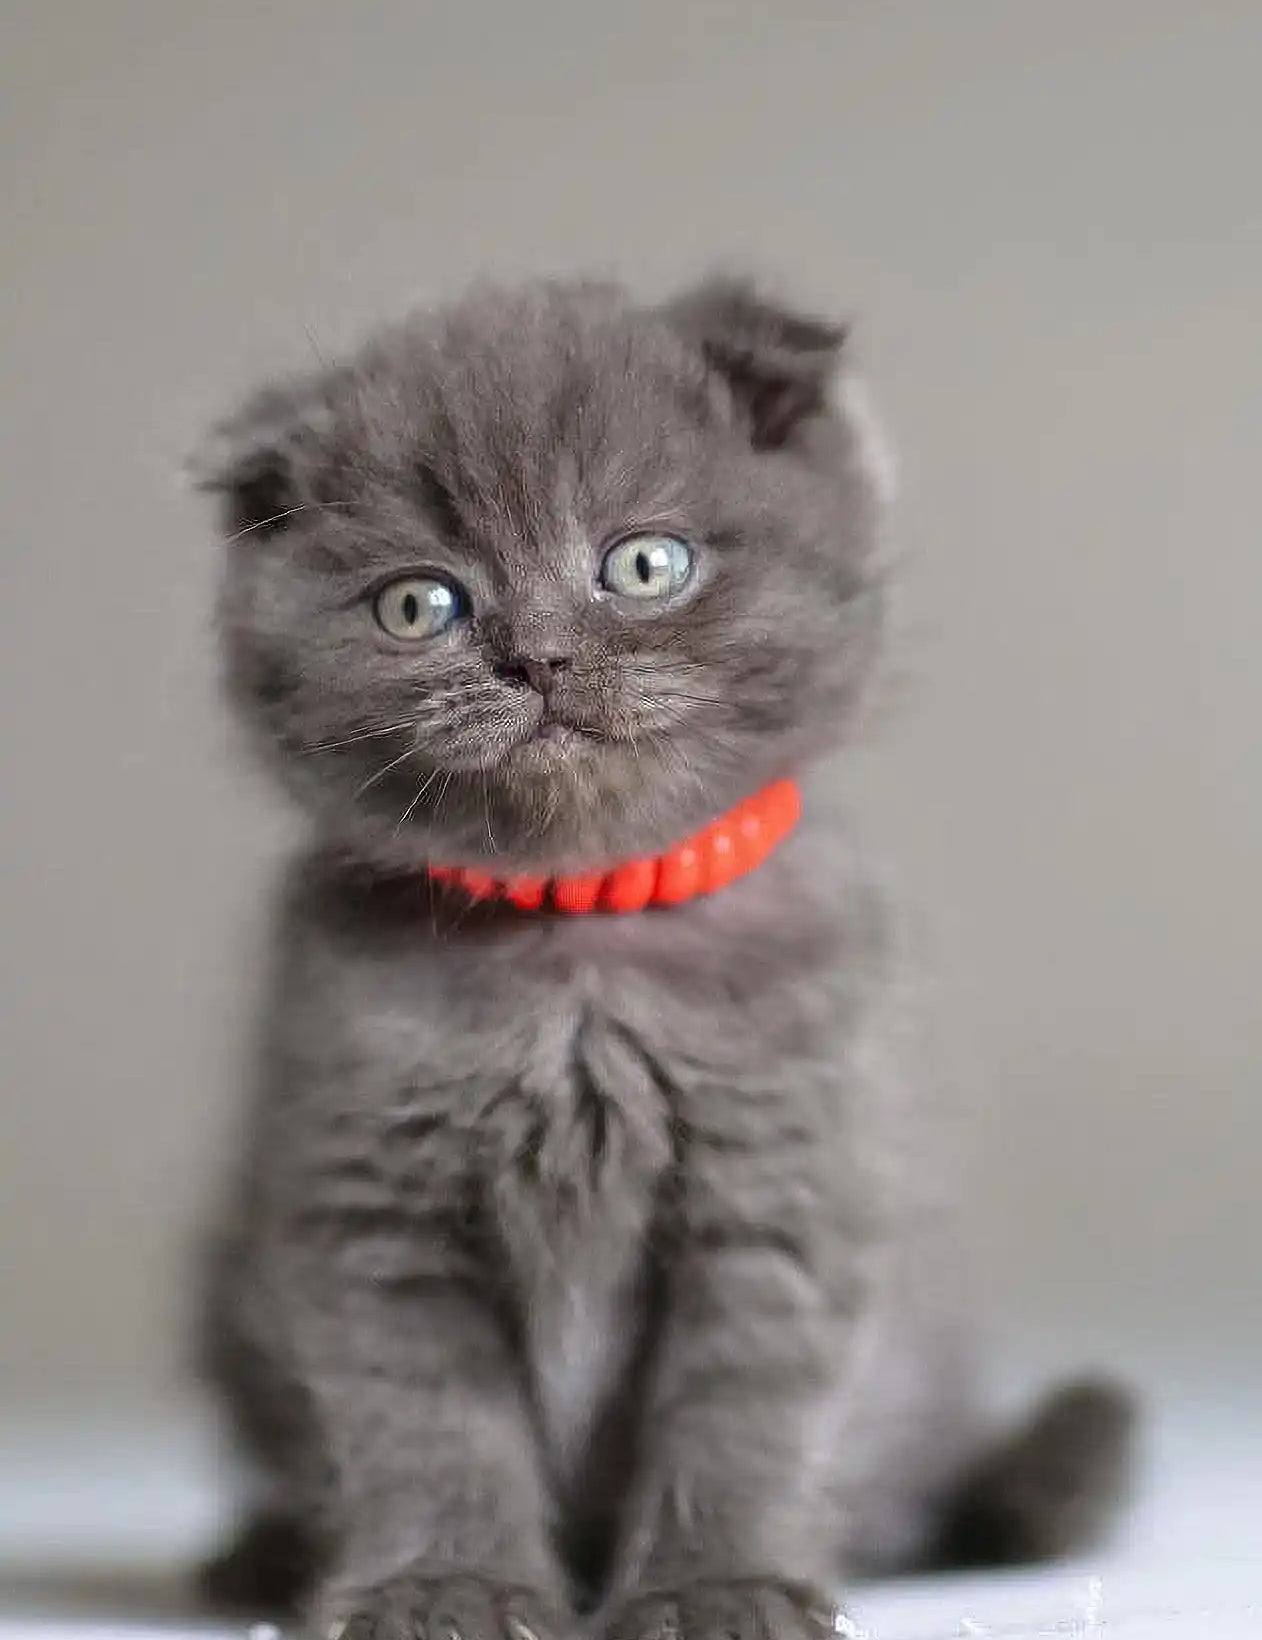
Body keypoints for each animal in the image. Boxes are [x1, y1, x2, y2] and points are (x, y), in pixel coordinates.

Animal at [194, 275, 1127, 1633]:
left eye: (643, 564)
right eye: (419, 604)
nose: (534, 654)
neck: (586, 936)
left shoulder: (780, 1187)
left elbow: (737, 1423)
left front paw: (718, 1587)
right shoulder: (371, 1202)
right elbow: (424, 1424)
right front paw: (443, 1583)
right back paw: (261, 1555)